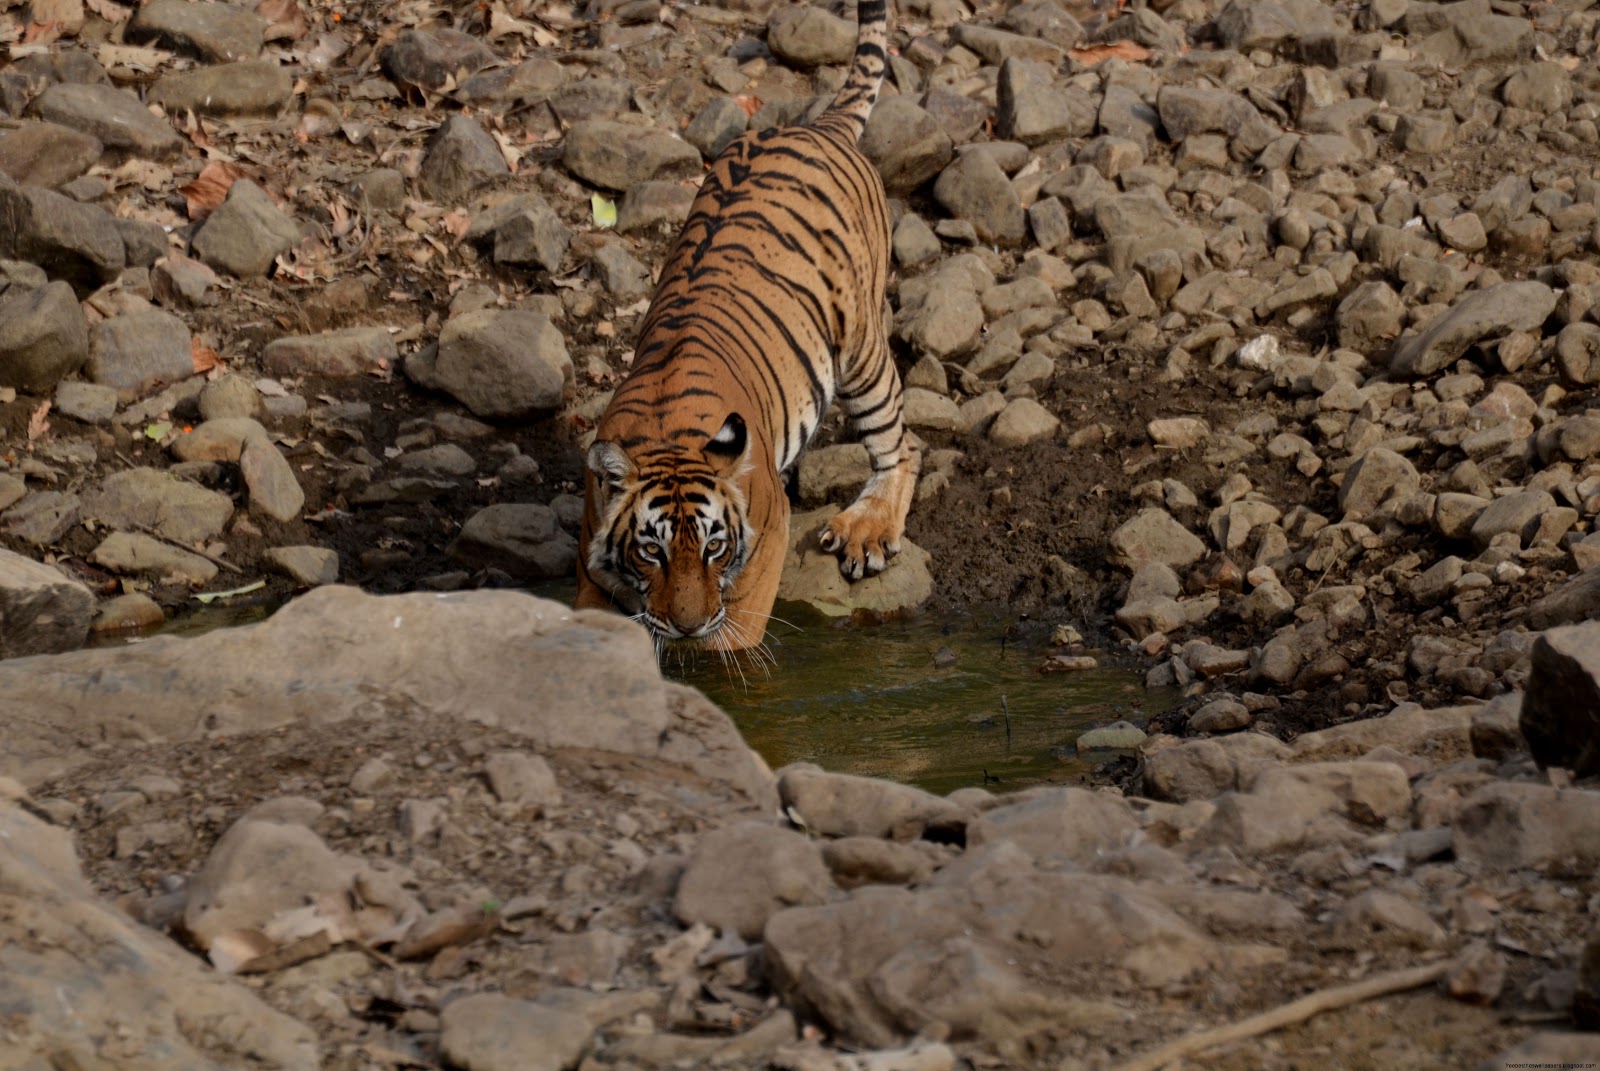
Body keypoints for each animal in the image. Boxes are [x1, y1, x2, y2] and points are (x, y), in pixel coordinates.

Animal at [575, 0, 920, 654]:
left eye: (714, 546)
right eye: (650, 551)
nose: (685, 624)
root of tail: (816, 126)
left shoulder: (766, 541)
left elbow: (732, 637)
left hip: (861, 349)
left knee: (902, 442)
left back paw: (867, 528)